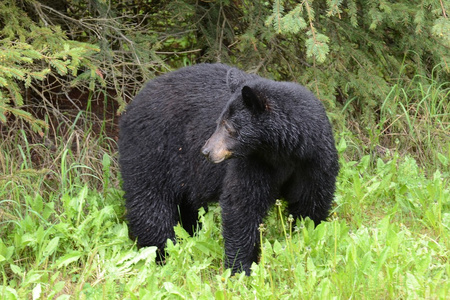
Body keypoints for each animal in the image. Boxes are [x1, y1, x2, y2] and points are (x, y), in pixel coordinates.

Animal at [118, 63, 338, 274]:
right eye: (218, 123)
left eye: (230, 128)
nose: (206, 151)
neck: (283, 153)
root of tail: (130, 106)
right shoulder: (253, 163)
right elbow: (242, 204)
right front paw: (240, 268)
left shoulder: (313, 162)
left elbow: (310, 203)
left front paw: (304, 237)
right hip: (152, 150)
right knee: (150, 203)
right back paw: (161, 253)